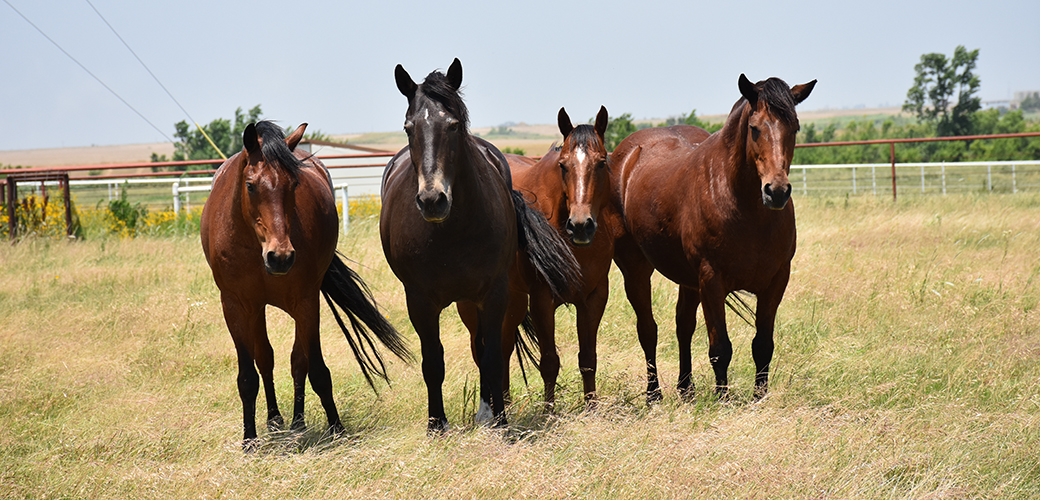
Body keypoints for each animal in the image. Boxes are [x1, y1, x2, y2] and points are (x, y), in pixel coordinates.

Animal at [201, 120, 411, 448]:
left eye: (293, 185)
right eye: (250, 185)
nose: (280, 257)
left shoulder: (306, 301)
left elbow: (313, 367)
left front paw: (336, 427)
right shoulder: (235, 305)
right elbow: (248, 375)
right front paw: (249, 440)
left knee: (297, 361)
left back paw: (297, 422)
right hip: (256, 309)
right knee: (265, 358)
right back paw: (274, 419)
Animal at [380, 59, 580, 432]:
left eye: (453, 125)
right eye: (409, 127)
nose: (432, 200)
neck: (450, 232)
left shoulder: (493, 293)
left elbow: (492, 356)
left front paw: (499, 419)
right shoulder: (419, 300)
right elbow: (433, 362)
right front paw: (436, 425)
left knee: (485, 348)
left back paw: (487, 411)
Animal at [459, 106, 617, 406]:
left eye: (602, 163)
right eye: (563, 165)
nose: (581, 225)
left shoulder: (593, 298)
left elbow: (588, 359)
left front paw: (592, 407)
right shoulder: (543, 300)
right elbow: (549, 362)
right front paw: (549, 410)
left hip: (513, 301)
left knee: (503, 348)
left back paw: (506, 403)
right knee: (481, 351)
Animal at [611, 74, 816, 403]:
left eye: (794, 127)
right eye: (754, 128)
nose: (777, 191)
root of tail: (625, 155)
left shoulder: (776, 281)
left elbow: (763, 345)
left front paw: (759, 397)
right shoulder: (711, 279)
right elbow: (720, 348)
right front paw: (723, 399)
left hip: (688, 280)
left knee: (683, 325)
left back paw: (686, 389)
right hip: (635, 268)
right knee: (648, 329)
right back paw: (654, 394)